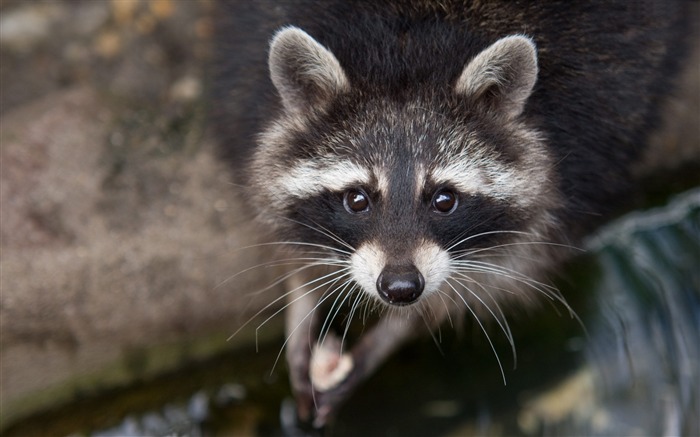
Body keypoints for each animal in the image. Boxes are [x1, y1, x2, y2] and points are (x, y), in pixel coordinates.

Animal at [209, 0, 688, 426]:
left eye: (444, 200)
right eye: (357, 200)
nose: (400, 288)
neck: (407, 48)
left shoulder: (585, 149)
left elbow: (503, 271)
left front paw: (393, 333)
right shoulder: (245, 90)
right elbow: (277, 214)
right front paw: (302, 295)